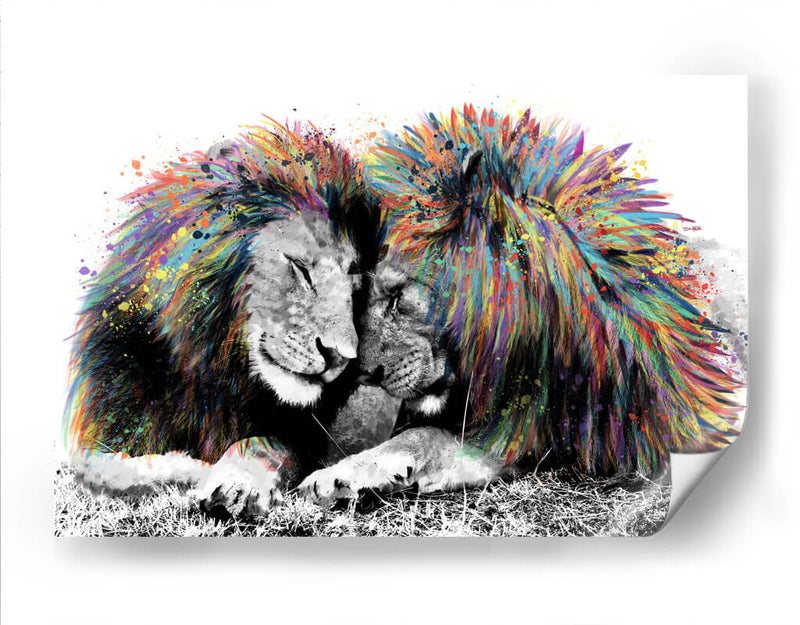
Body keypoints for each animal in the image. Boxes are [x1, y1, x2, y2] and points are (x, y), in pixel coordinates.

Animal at [65, 119, 380, 517]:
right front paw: (192, 469)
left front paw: (236, 483)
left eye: (355, 280)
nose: (342, 357)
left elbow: (263, 444)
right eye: (300, 267)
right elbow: (104, 467)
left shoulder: (300, 433)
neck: (212, 370)